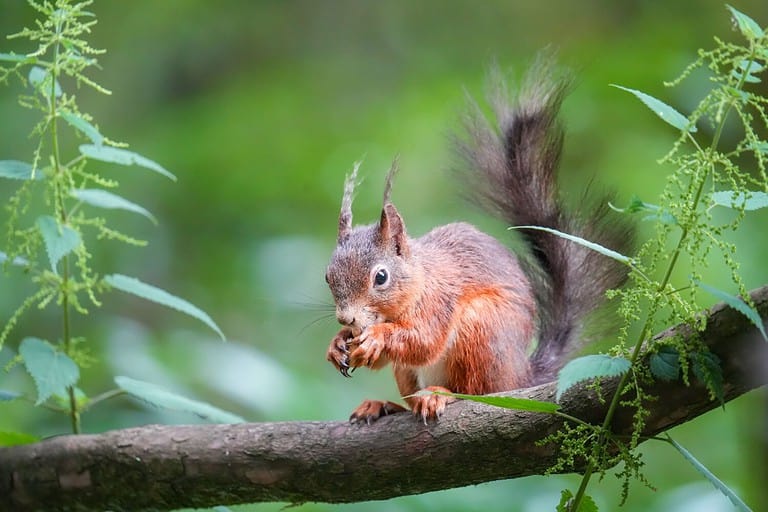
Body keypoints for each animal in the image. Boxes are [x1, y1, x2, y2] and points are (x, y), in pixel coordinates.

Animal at [324, 56, 634, 424]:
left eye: (381, 277)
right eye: (328, 276)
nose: (347, 320)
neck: (419, 279)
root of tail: (520, 379)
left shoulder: (440, 301)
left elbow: (424, 341)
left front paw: (375, 338)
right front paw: (337, 344)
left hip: (482, 329)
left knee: (475, 391)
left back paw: (439, 395)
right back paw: (384, 405)